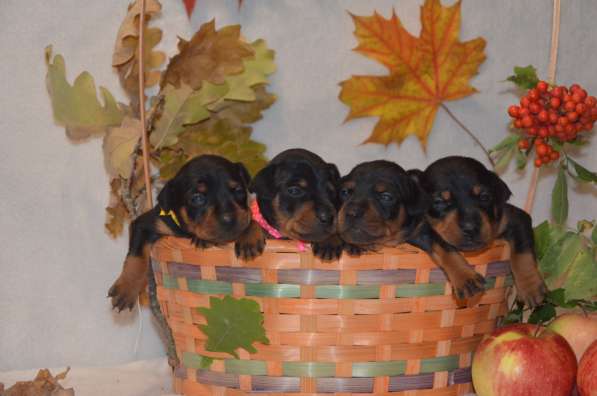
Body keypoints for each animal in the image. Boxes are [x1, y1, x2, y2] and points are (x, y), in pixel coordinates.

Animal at [109, 153, 264, 310]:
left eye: (239, 191)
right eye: (197, 198)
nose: (229, 219)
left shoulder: (247, 214)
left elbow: (251, 218)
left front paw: (249, 238)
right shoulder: (144, 224)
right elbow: (136, 257)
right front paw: (126, 290)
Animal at [412, 155, 548, 306]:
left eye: (484, 197)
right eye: (439, 202)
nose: (470, 228)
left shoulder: (515, 218)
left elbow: (522, 252)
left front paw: (531, 287)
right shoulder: (420, 230)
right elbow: (444, 247)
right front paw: (465, 278)